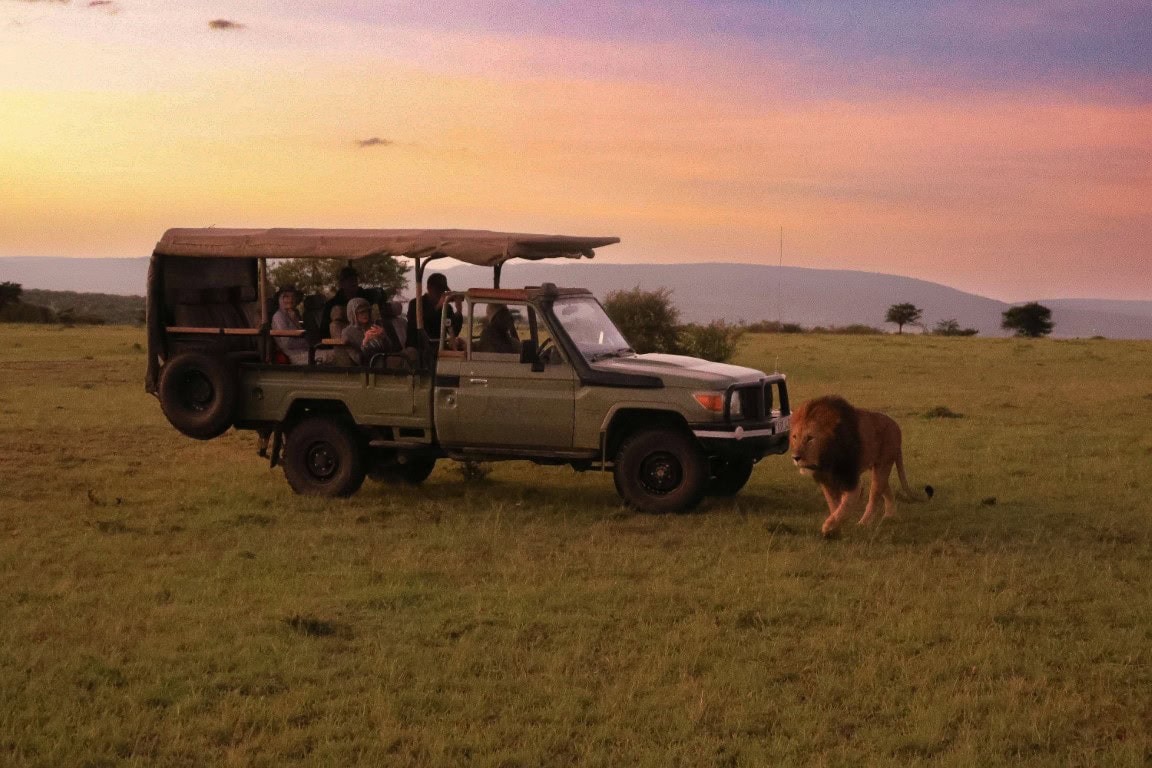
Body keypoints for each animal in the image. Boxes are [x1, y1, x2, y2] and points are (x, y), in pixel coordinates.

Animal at [787, 396, 930, 534]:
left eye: (810, 438)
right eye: (794, 437)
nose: (796, 457)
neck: (825, 459)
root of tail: (896, 425)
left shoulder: (851, 480)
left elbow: (845, 504)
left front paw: (829, 526)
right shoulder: (826, 481)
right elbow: (834, 505)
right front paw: (836, 527)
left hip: (883, 464)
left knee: (874, 495)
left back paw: (863, 523)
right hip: (877, 467)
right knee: (885, 488)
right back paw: (889, 516)